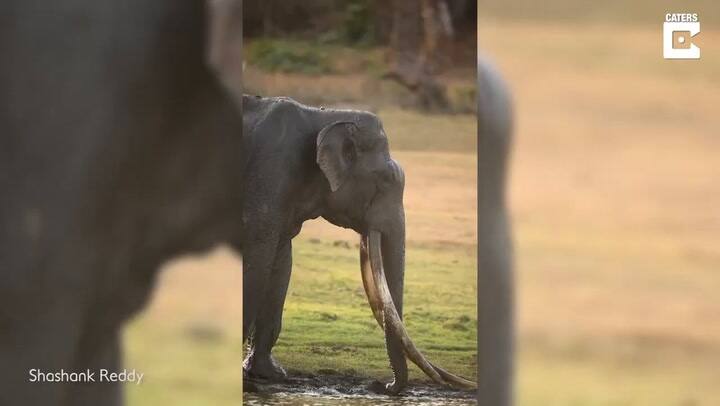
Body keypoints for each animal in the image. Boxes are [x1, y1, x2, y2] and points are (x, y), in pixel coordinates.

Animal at [241, 95, 475, 394]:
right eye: (386, 180)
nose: (384, 386)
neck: (325, 116)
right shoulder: (269, 174)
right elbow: (257, 254)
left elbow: (280, 263)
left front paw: (269, 375)